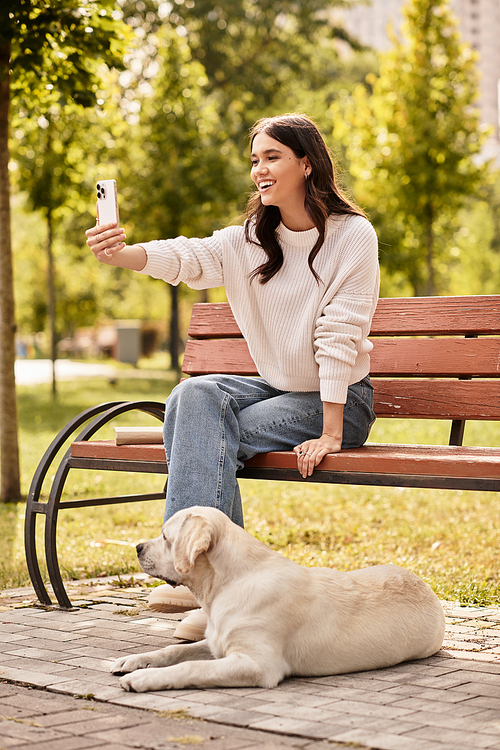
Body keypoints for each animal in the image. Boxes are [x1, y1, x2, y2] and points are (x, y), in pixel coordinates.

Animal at [112, 508, 446, 696]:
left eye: (165, 537)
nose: (137, 547)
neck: (227, 584)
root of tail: (423, 583)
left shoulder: (257, 664)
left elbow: (190, 668)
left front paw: (143, 678)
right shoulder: (219, 644)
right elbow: (175, 651)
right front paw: (136, 661)